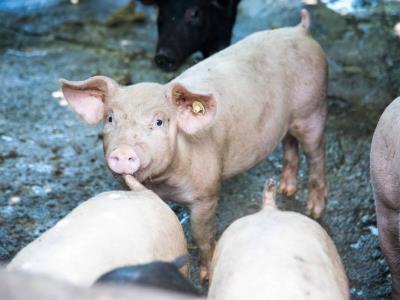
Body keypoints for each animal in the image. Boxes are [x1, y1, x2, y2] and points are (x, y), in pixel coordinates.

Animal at [61, 9, 326, 282]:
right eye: (110, 119)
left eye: (159, 121)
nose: (123, 151)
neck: (164, 182)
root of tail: (299, 30)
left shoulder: (206, 193)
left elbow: (202, 236)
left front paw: (205, 278)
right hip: (290, 122)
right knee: (289, 143)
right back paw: (286, 190)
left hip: (313, 109)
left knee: (316, 154)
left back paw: (314, 210)